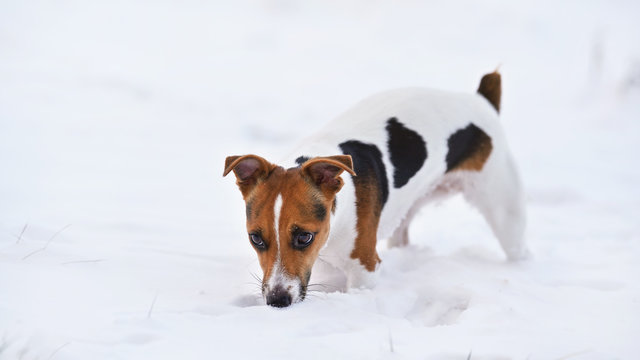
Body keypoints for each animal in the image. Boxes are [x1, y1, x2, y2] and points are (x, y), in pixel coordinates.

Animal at [222, 71, 528, 308]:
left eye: (304, 237)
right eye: (256, 239)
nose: (277, 301)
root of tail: (481, 100)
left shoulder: (364, 269)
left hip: (504, 208)